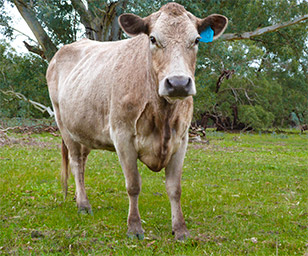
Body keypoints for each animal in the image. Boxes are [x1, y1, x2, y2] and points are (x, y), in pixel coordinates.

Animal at [47, 2, 227, 240]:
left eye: (196, 40)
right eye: (152, 38)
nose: (178, 83)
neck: (163, 116)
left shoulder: (181, 139)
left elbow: (175, 188)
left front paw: (180, 229)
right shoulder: (122, 136)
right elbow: (133, 184)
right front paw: (134, 228)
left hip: (84, 129)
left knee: (82, 164)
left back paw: (79, 198)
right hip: (64, 125)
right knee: (76, 163)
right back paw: (84, 205)